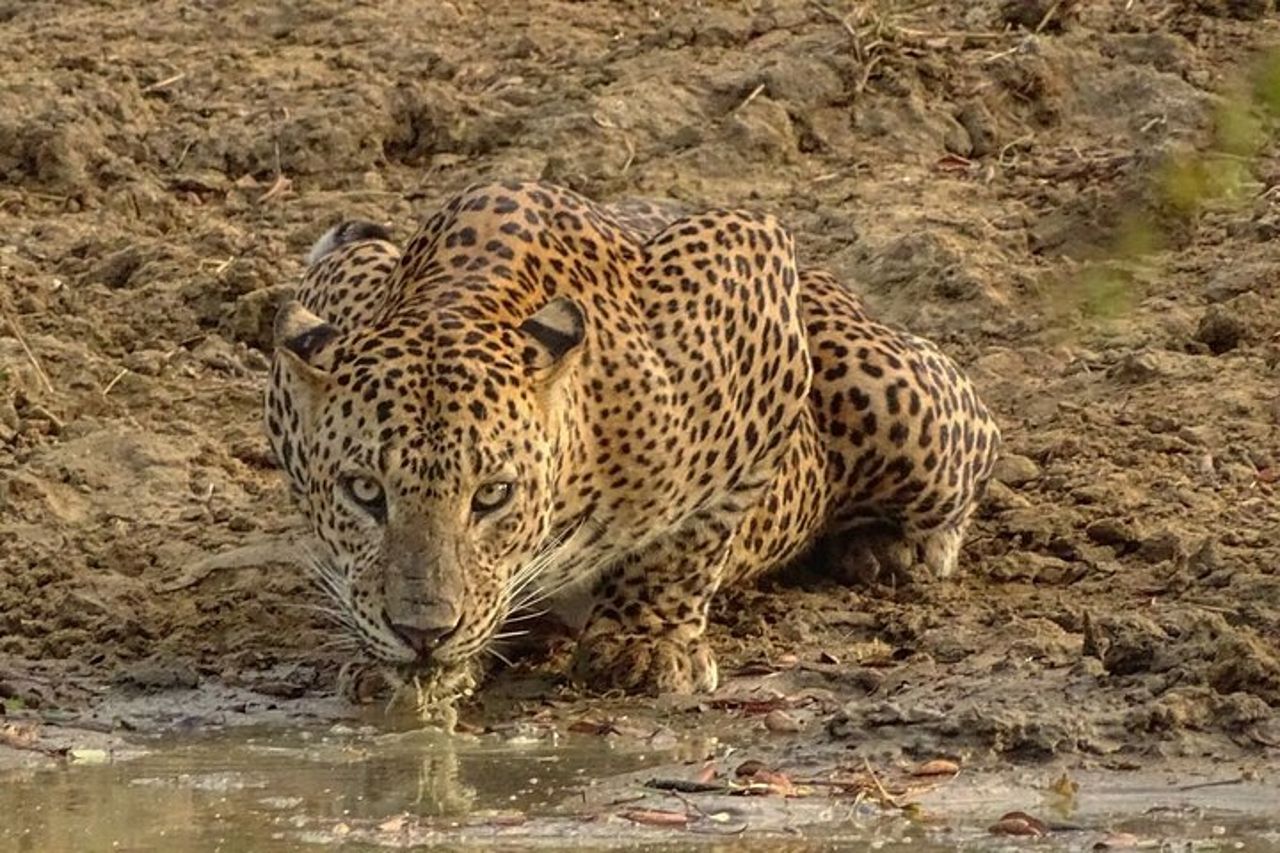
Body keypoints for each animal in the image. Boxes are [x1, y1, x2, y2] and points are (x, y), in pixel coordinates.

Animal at [264, 179, 1000, 698]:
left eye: (493, 495)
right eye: (365, 492)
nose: (422, 632)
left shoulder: (754, 264)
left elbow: (690, 536)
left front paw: (645, 641)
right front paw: (378, 656)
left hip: (903, 407)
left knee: (976, 429)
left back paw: (894, 548)